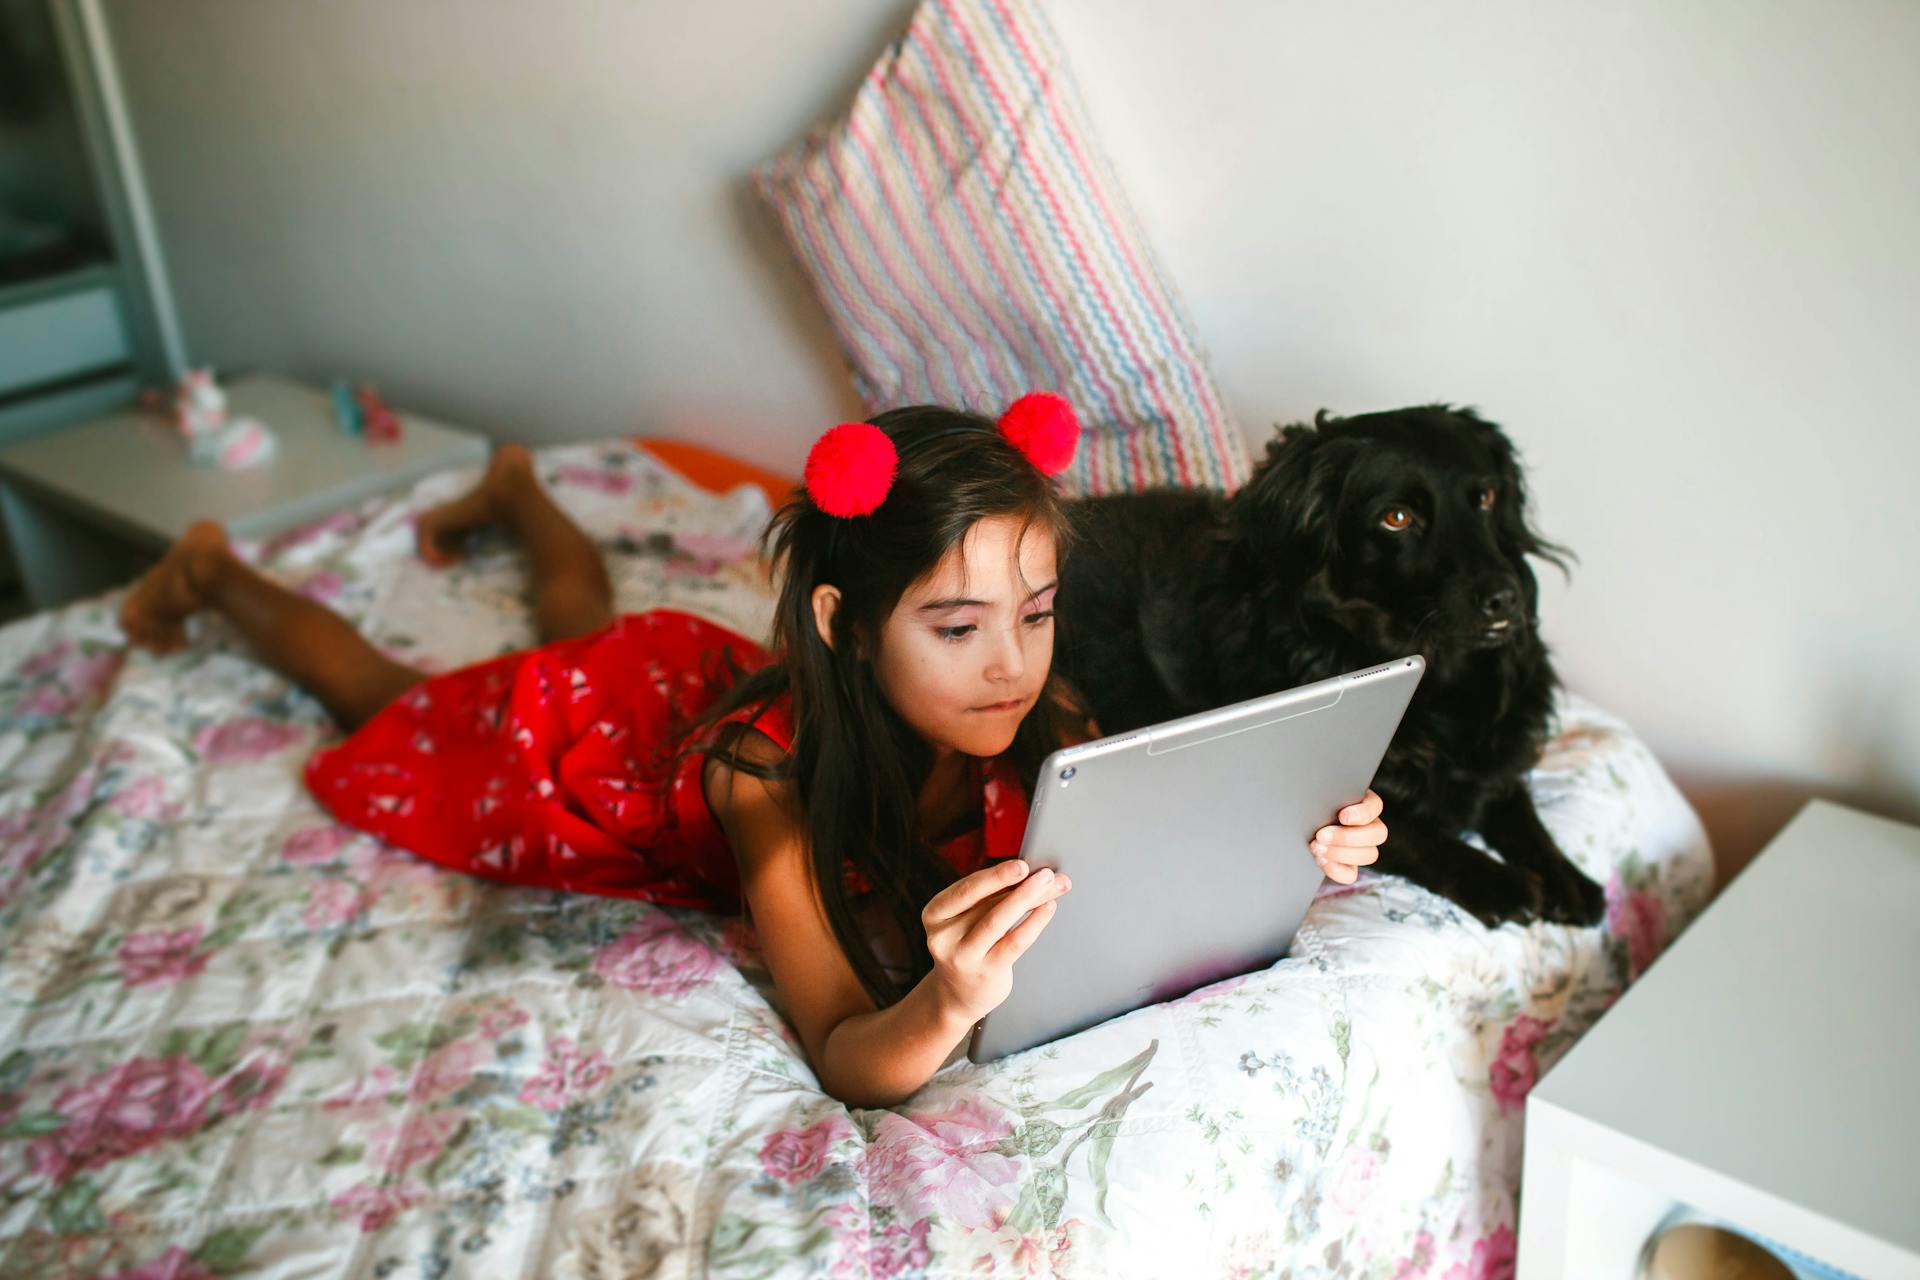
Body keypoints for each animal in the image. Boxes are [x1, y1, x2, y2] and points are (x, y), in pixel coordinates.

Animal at [1052, 404, 1605, 924]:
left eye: (1486, 499)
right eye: (1397, 518)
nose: (1506, 599)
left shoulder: (1496, 749)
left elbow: (1514, 801)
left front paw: (1565, 876)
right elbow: (1412, 832)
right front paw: (1500, 882)